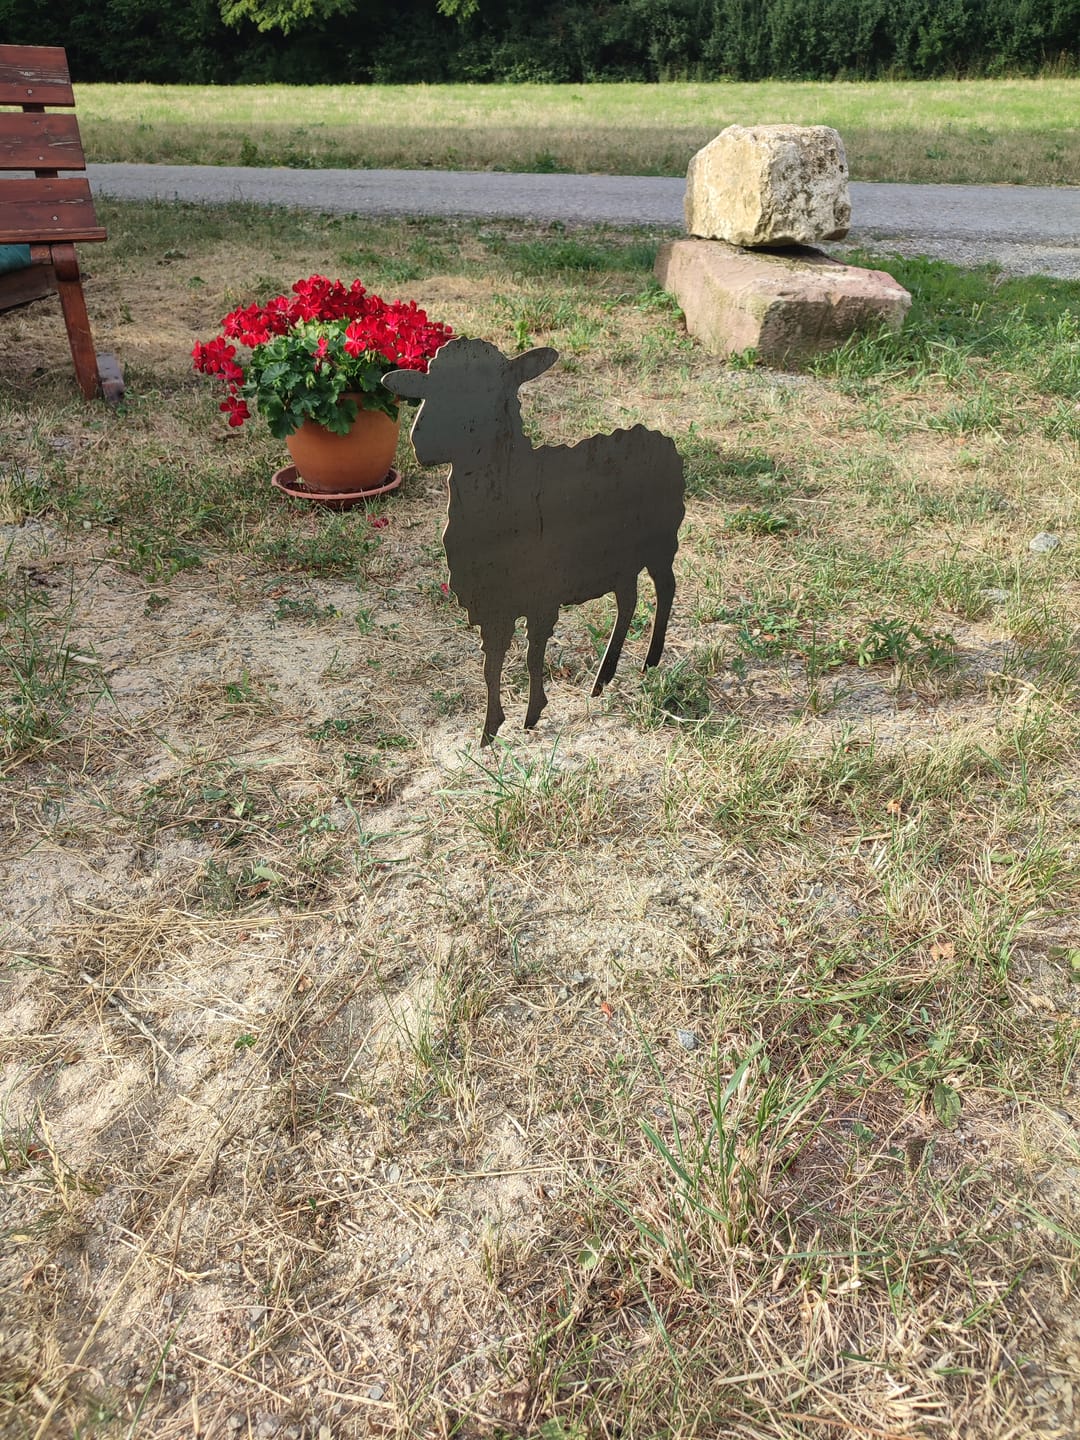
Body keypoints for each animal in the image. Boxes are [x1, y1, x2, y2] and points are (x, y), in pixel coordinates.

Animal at [383, 339, 685, 743]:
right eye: (427, 390)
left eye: (493, 390)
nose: (422, 444)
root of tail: (658, 436)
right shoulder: (489, 597)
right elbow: (491, 663)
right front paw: (490, 731)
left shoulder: (541, 592)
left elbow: (531, 654)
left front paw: (530, 716)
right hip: (618, 556)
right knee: (628, 601)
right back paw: (602, 679)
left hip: (661, 544)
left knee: (666, 589)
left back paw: (649, 661)